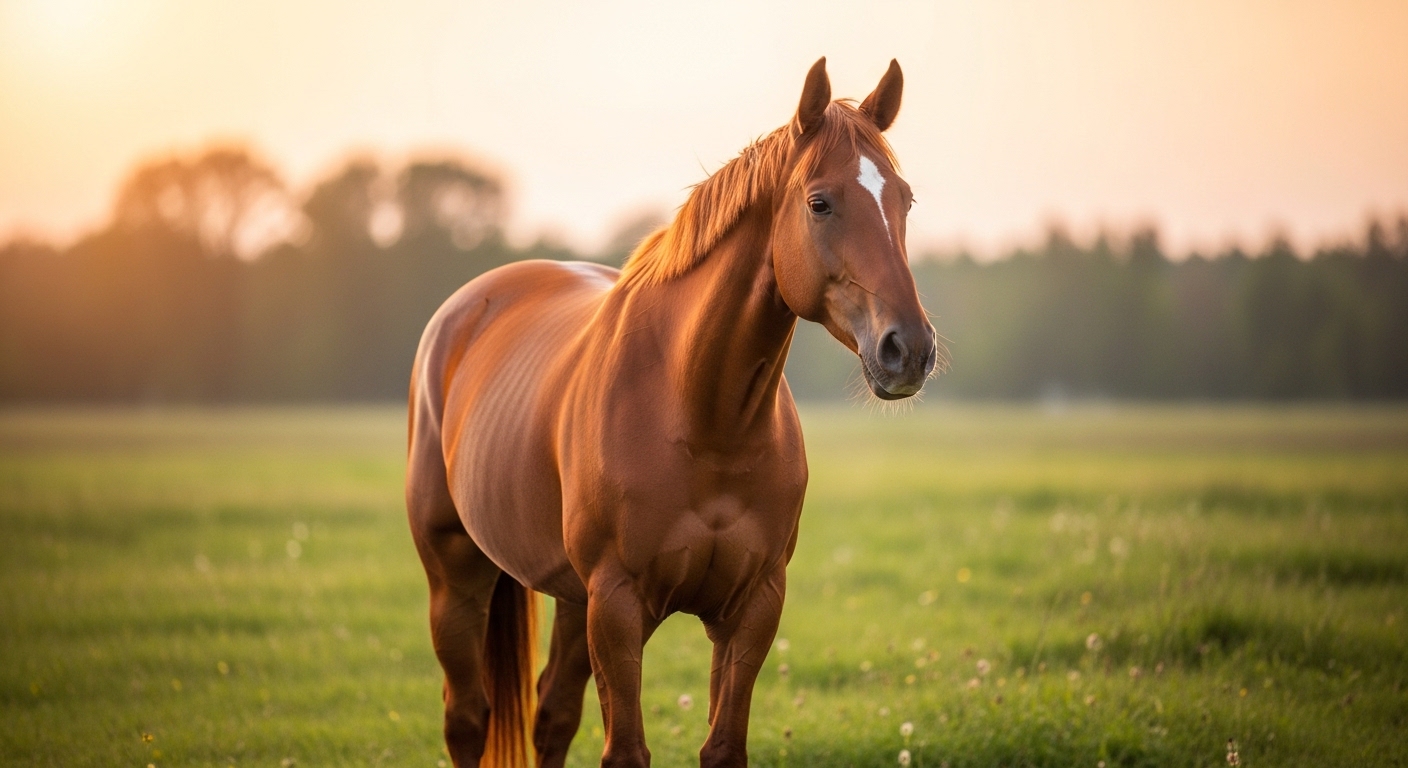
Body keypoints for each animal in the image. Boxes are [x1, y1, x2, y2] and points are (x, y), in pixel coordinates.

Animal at [406, 57, 943, 768]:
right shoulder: (618, 607)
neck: (704, 419)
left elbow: (722, 747)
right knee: (466, 718)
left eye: (903, 199)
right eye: (820, 203)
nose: (908, 349)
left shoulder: (752, 607)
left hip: (573, 600)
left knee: (552, 714)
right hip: (458, 579)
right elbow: (625, 751)